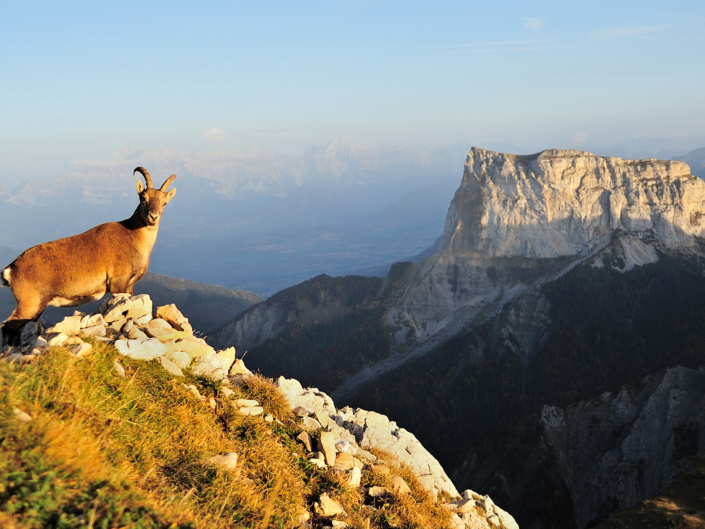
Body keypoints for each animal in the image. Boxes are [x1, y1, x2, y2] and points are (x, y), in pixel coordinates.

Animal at [0, 166, 176, 346]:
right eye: (143, 199)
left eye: (164, 202)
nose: (153, 217)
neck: (132, 235)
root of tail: (11, 268)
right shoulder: (117, 283)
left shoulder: (129, 285)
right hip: (31, 302)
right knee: (7, 327)